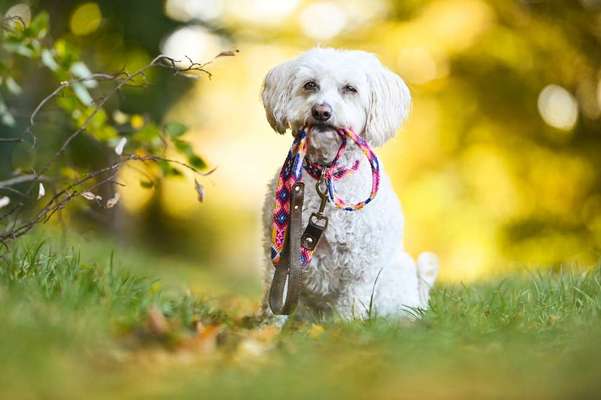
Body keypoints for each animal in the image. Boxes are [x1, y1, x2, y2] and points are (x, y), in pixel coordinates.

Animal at [258, 47, 436, 322]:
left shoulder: (361, 267)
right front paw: (267, 330)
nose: (321, 111)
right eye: (310, 85)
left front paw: (344, 330)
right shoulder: (279, 253)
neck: (327, 177)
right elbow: (275, 301)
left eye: (350, 89)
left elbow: (350, 306)